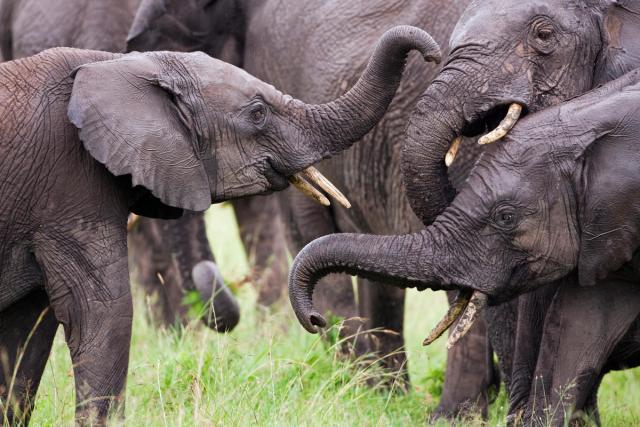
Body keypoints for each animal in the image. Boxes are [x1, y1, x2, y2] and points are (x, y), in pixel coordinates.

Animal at [0, 26, 440, 424]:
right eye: (258, 113)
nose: (432, 54)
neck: (118, 64)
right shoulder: (68, 186)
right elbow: (102, 311)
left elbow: (27, 330)